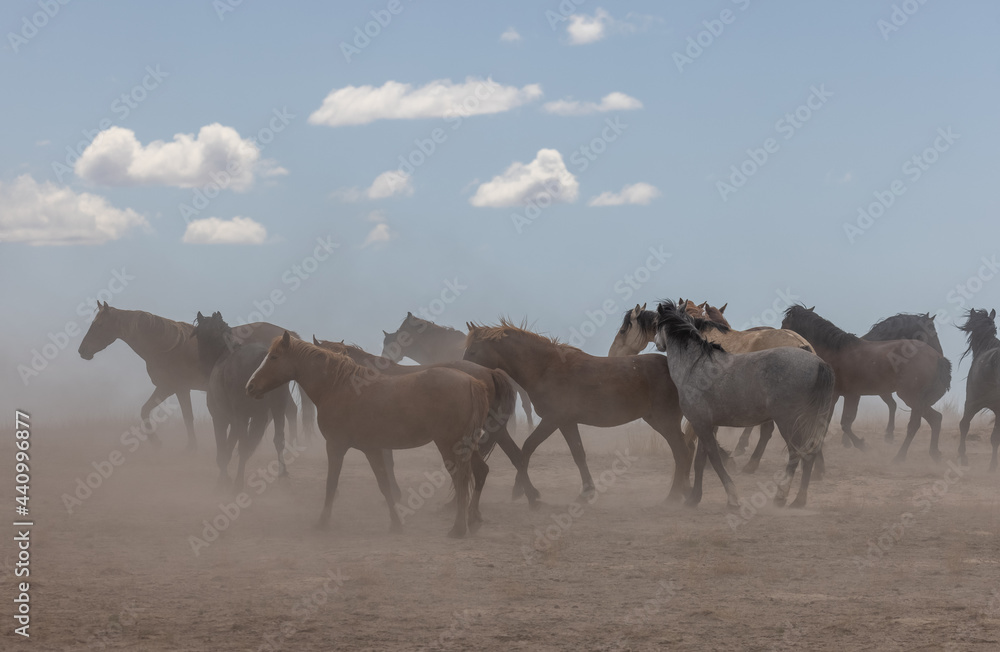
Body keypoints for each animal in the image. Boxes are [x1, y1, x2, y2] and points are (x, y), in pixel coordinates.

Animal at [77, 302, 315, 448]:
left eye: (99, 325)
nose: (82, 350)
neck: (166, 345)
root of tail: (289, 336)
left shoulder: (175, 388)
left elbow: (186, 416)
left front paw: (188, 446)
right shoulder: (167, 388)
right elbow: (146, 411)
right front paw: (158, 443)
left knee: (287, 411)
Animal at [194, 312, 291, 491]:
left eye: (198, 332)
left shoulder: (221, 418)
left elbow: (223, 449)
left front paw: (223, 480)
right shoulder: (238, 420)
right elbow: (229, 447)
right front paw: (224, 477)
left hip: (243, 416)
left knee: (244, 446)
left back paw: (238, 483)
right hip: (277, 409)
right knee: (279, 439)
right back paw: (283, 473)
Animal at [247, 333, 490, 538]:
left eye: (274, 357)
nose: (250, 386)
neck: (339, 386)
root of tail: (471, 382)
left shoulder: (336, 446)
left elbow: (331, 484)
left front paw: (323, 522)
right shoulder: (373, 449)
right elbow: (384, 485)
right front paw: (396, 523)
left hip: (449, 445)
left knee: (461, 480)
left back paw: (459, 528)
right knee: (477, 473)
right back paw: (471, 520)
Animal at [463, 319, 708, 507]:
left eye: (472, 351)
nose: (463, 372)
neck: (545, 368)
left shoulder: (553, 420)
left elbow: (527, 448)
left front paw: (521, 490)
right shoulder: (567, 422)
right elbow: (578, 454)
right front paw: (586, 492)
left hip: (664, 421)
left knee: (681, 452)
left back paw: (673, 496)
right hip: (661, 421)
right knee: (685, 450)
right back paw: (684, 491)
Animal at [654, 301, 834, 508]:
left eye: (656, 322)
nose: (657, 343)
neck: (695, 366)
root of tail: (818, 362)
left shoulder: (699, 424)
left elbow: (714, 459)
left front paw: (732, 497)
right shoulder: (707, 425)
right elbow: (700, 460)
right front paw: (694, 498)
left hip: (789, 421)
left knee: (796, 452)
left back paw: (781, 495)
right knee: (810, 453)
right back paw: (799, 499)